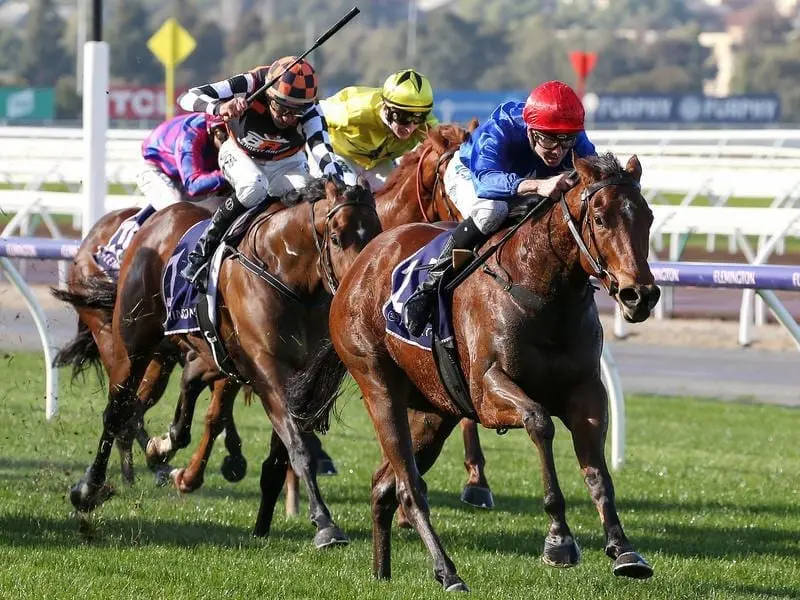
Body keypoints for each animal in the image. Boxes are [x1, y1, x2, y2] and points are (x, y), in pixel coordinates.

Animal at [65, 176, 378, 548]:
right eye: (336, 237)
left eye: (378, 231)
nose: (361, 287)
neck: (286, 273)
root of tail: (157, 218)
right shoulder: (269, 371)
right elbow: (298, 445)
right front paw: (325, 524)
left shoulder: (299, 380)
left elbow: (281, 455)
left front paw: (264, 525)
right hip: (133, 342)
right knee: (118, 410)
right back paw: (89, 488)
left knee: (185, 384)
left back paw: (162, 448)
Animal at [290, 152, 660, 588]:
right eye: (600, 219)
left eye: (648, 217)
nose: (640, 295)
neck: (545, 293)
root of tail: (359, 266)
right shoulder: (488, 391)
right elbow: (540, 422)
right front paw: (559, 539)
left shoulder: (586, 392)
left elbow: (597, 473)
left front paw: (623, 549)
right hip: (379, 387)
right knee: (409, 489)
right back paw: (447, 571)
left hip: (434, 411)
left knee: (383, 484)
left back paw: (382, 573)